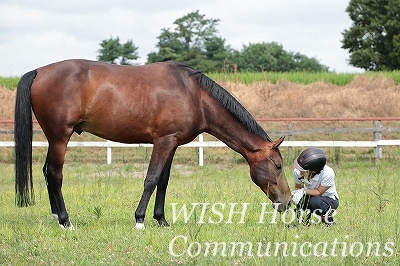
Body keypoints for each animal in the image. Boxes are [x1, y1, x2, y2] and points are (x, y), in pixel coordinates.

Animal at [14, 59, 290, 230]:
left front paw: (161, 220)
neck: (195, 95)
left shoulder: (172, 142)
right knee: (55, 174)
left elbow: (163, 181)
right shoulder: (163, 141)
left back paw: (56, 218)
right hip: (60, 137)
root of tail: (39, 71)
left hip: (54, 139)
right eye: (278, 166)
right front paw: (139, 220)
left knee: (47, 173)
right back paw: (66, 221)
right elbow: (151, 178)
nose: (288, 202)